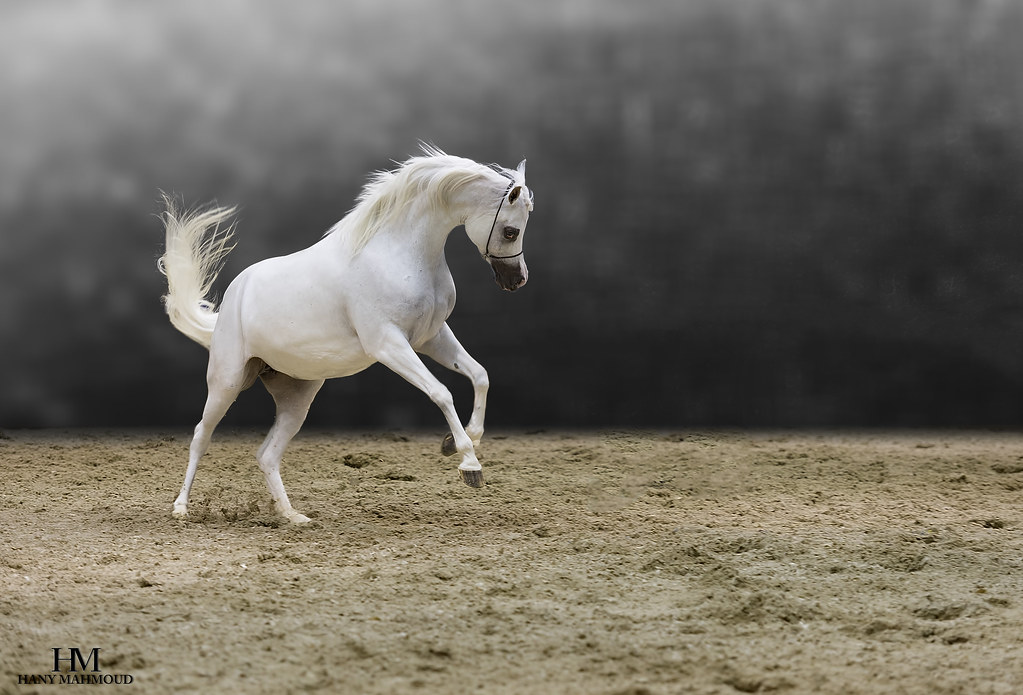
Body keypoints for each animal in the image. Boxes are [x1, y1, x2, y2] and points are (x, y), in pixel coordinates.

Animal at [158, 146, 533, 523]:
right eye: (511, 231)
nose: (517, 281)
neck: (396, 254)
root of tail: (235, 294)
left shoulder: (431, 338)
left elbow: (480, 375)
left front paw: (457, 442)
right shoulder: (388, 344)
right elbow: (441, 393)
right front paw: (469, 463)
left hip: (298, 396)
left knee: (267, 454)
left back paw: (293, 517)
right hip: (227, 382)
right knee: (201, 437)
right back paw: (180, 508)